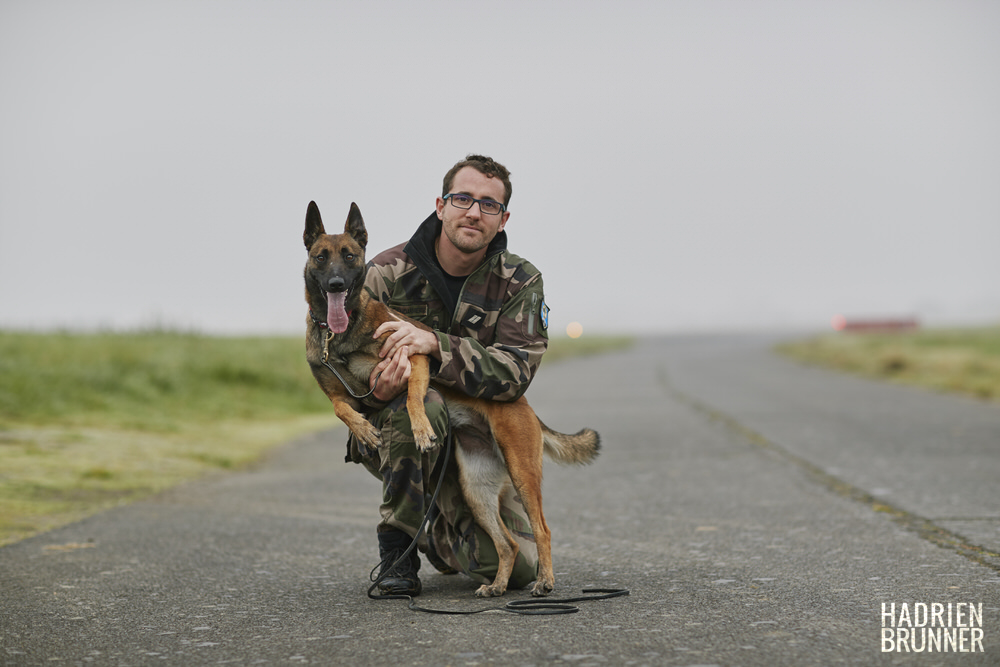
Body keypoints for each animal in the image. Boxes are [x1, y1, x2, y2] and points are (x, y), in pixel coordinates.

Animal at [302, 201, 600, 596]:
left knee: (542, 530)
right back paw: (497, 585)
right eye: (321, 257)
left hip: (523, 473)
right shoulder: (341, 393)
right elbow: (340, 408)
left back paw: (544, 581)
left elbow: (413, 397)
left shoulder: (414, 356)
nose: (336, 283)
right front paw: (364, 430)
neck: (339, 333)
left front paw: (422, 431)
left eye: (349, 255)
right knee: (509, 543)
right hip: (477, 490)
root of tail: (525, 406)